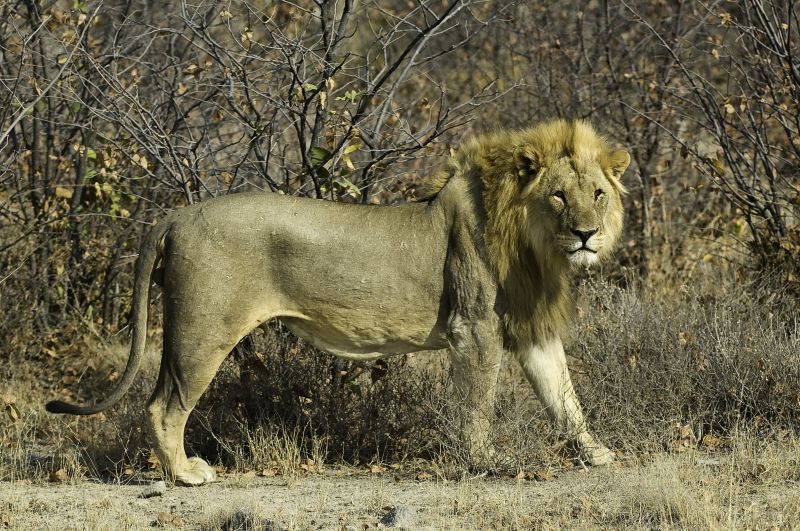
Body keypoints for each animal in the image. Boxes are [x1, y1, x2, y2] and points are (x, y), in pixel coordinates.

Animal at [45, 119, 632, 486]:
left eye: (598, 194)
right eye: (558, 195)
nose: (586, 234)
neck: (536, 248)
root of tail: (174, 215)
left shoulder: (533, 329)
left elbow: (565, 398)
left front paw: (597, 453)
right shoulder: (475, 328)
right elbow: (477, 404)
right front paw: (483, 461)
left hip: (185, 331)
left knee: (158, 400)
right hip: (203, 331)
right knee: (163, 406)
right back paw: (186, 474)